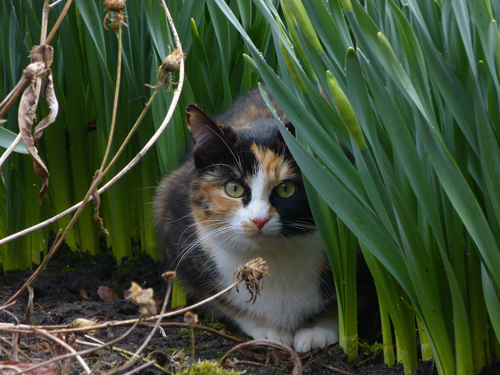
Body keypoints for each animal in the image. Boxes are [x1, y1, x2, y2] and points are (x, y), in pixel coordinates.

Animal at [152, 86, 340, 354]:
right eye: (234, 188)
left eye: (286, 189)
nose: (259, 220)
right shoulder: (171, 216)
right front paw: (268, 329)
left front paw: (318, 330)